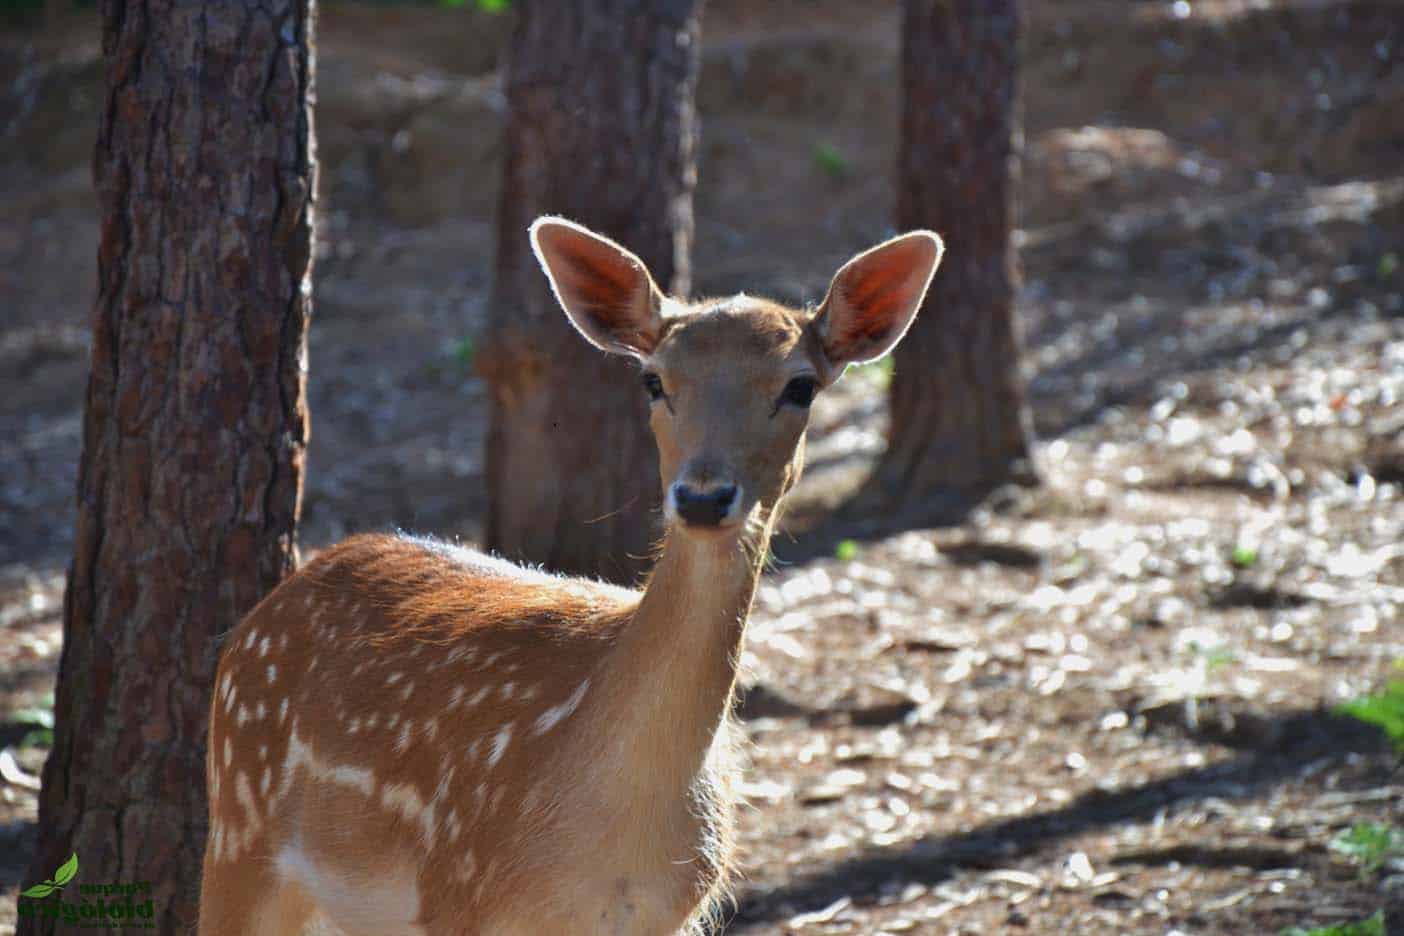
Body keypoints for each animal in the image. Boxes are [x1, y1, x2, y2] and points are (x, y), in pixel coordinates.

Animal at [200, 216, 943, 931]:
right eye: (654, 379)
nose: (703, 496)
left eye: (801, 386)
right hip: (239, 829)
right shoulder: (457, 892)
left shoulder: (673, 912)